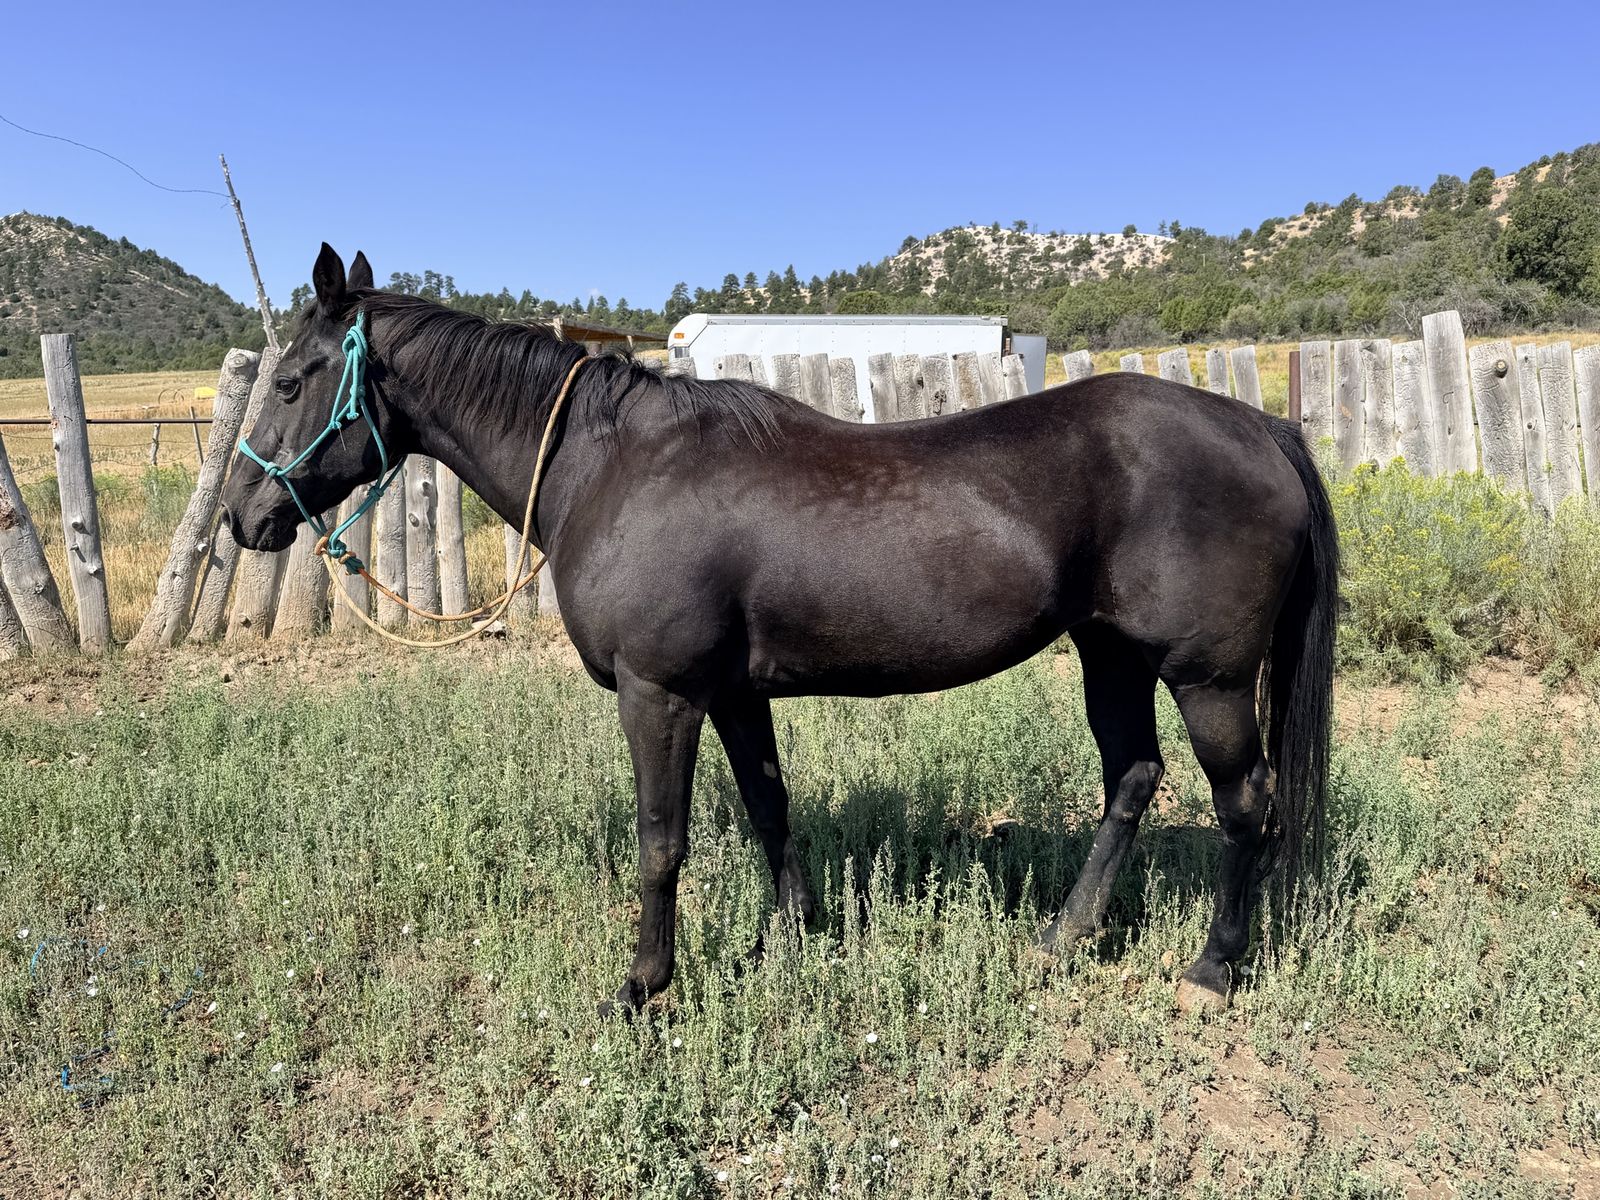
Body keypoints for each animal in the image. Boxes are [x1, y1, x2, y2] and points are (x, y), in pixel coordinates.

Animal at [222, 245, 1337, 1016]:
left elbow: (661, 842)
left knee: (1245, 804)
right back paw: (1064, 936)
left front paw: (646, 986)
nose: (243, 514)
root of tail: (1261, 428)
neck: (613, 465)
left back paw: (1211, 968)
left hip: (1207, 677)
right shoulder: (732, 693)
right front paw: (789, 942)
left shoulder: (662, 693)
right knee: (1132, 780)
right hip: (1111, 655)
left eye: (292, 377)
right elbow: (769, 808)